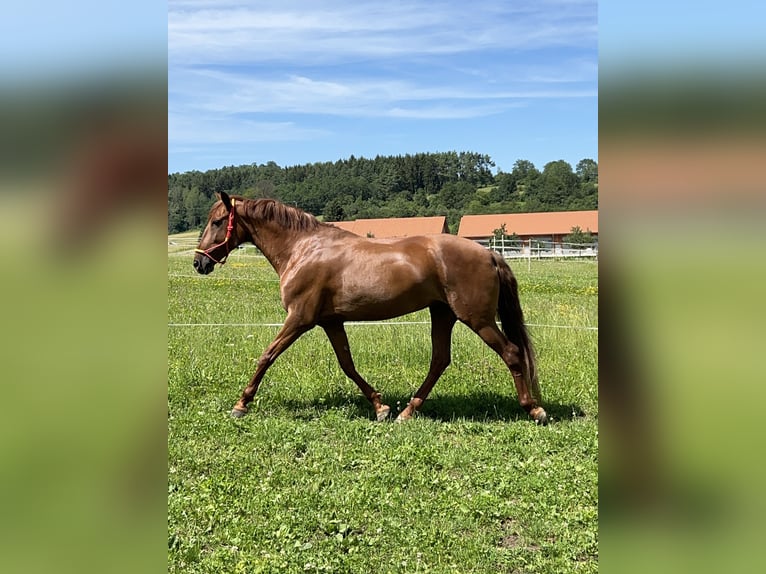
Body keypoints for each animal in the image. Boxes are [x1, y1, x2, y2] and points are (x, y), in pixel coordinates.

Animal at [195, 192, 548, 424]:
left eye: (217, 222)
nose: (199, 262)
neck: (302, 248)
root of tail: (490, 253)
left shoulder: (299, 318)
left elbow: (267, 356)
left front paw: (241, 403)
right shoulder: (330, 322)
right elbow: (347, 365)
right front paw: (380, 407)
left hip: (477, 318)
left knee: (511, 353)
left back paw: (534, 409)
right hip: (443, 314)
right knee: (439, 361)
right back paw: (406, 412)